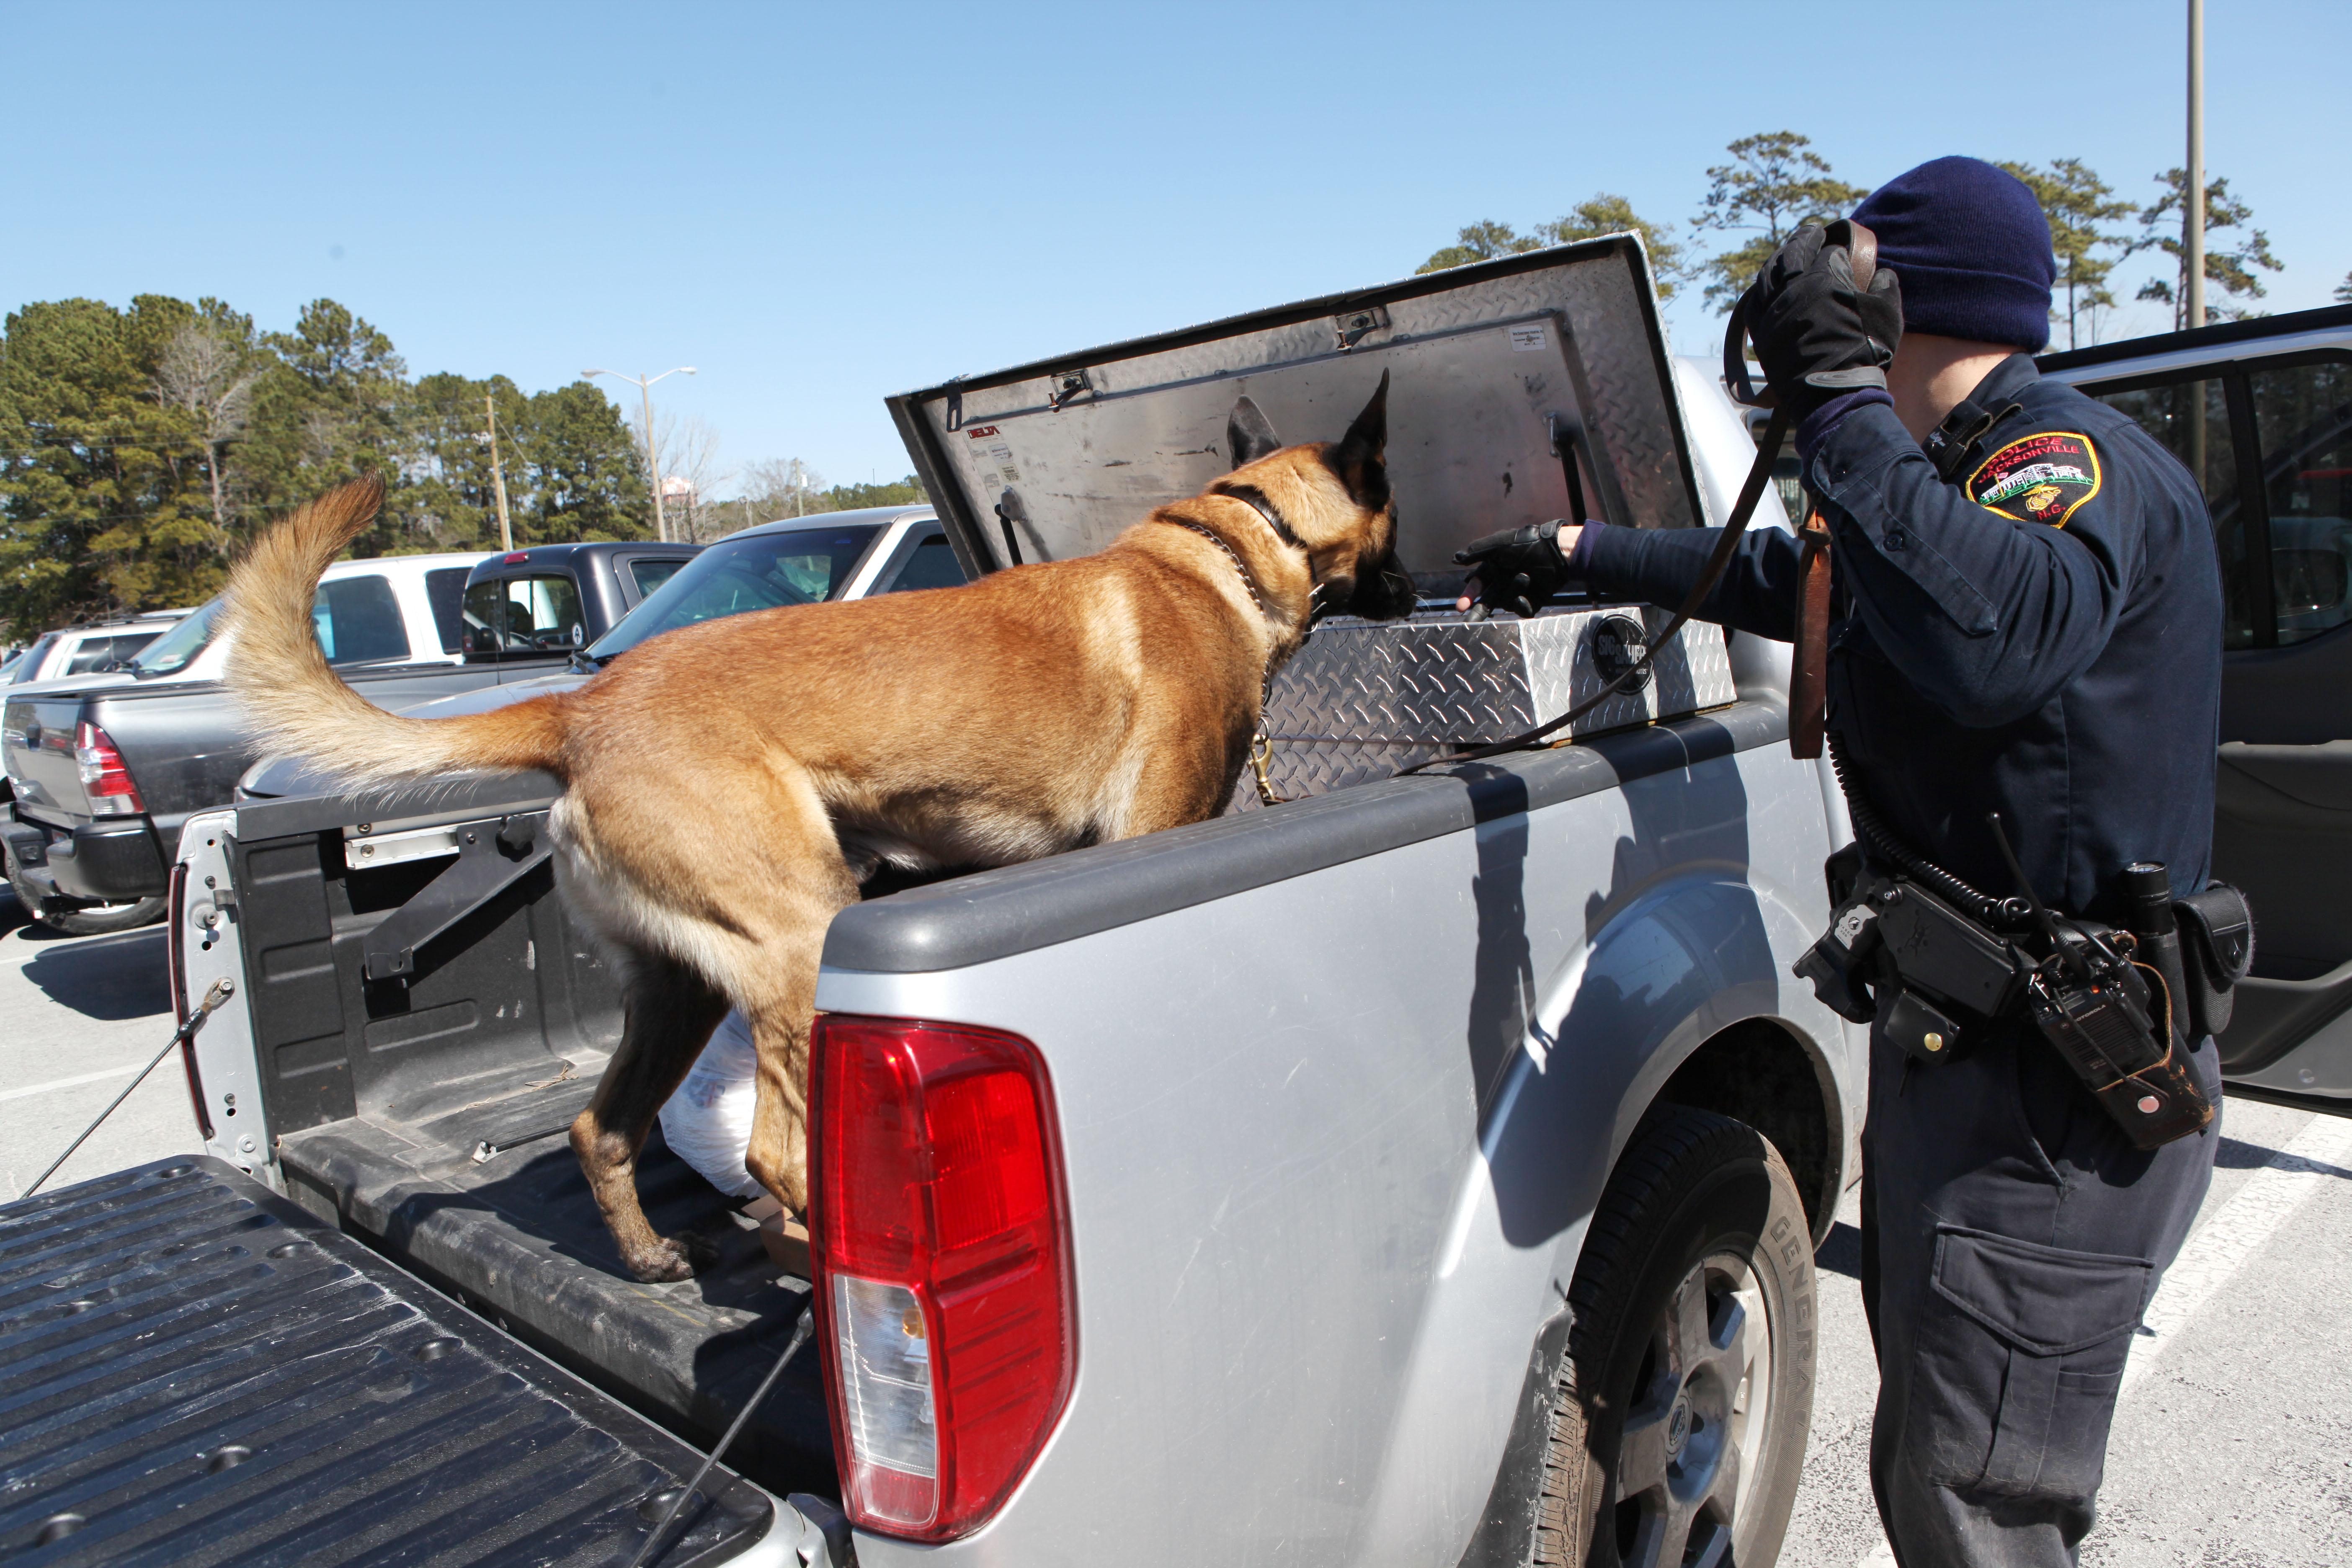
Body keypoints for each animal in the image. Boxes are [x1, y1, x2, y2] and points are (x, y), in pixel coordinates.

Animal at [221, 374, 1402, 1279]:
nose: (1425, 587)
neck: (1227, 553)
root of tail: (581, 706)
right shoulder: (1147, 835)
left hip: (682, 985)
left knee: (603, 1129)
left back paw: (655, 1256)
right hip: (798, 941)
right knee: (777, 1158)